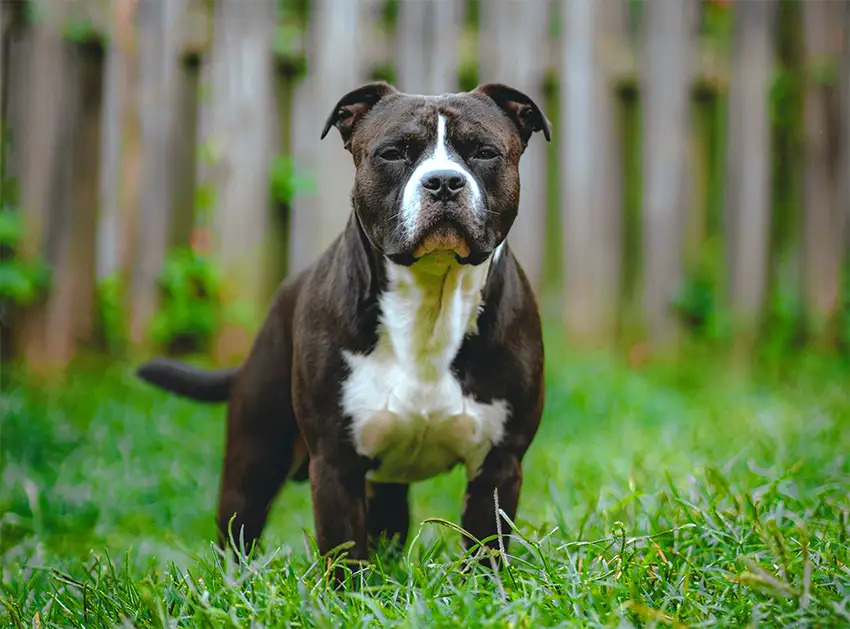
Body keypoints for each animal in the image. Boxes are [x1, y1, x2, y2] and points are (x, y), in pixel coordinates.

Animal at [138, 81, 548, 568]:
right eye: (393, 153)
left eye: (484, 152)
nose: (444, 181)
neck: (431, 298)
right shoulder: (335, 464)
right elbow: (347, 556)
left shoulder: (498, 466)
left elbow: (485, 555)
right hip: (254, 457)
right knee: (238, 533)